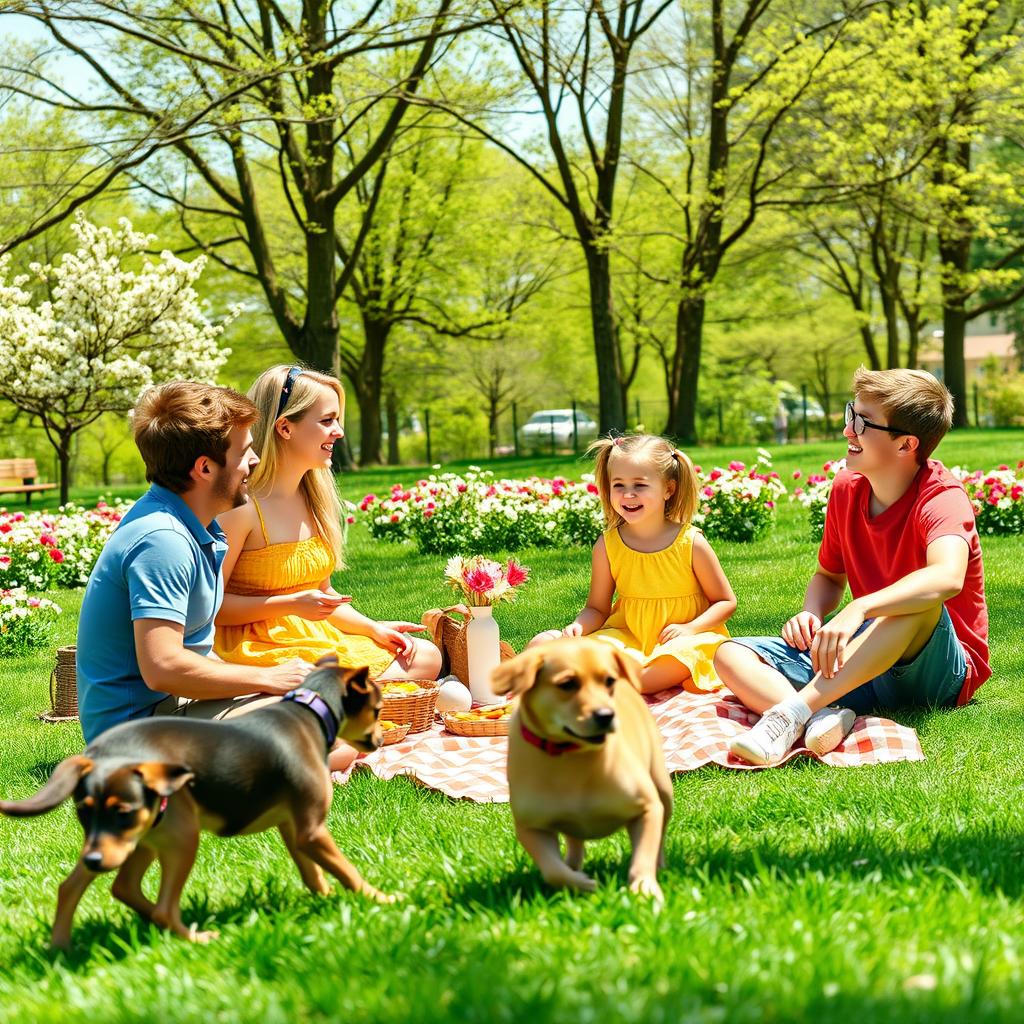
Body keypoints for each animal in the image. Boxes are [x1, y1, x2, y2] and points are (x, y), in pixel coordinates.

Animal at [1, 655, 395, 950]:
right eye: (377, 709)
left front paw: (324, 899)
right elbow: (347, 870)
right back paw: (194, 935)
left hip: (123, 839)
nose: (379, 740)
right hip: (180, 834)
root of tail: (95, 754)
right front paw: (380, 898)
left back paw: (61, 948)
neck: (310, 711)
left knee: (90, 886)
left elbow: (313, 873)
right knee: (161, 907)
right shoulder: (312, 830)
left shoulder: (293, 828)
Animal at [493, 634, 675, 901]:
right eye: (567, 684)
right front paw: (580, 884)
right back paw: (574, 865)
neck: (571, 755)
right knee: (574, 841)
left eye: (609, 681)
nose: (606, 715)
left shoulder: (646, 806)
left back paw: (660, 863)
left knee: (660, 828)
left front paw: (645, 889)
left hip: (662, 785)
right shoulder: (530, 826)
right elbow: (552, 869)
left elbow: (644, 852)